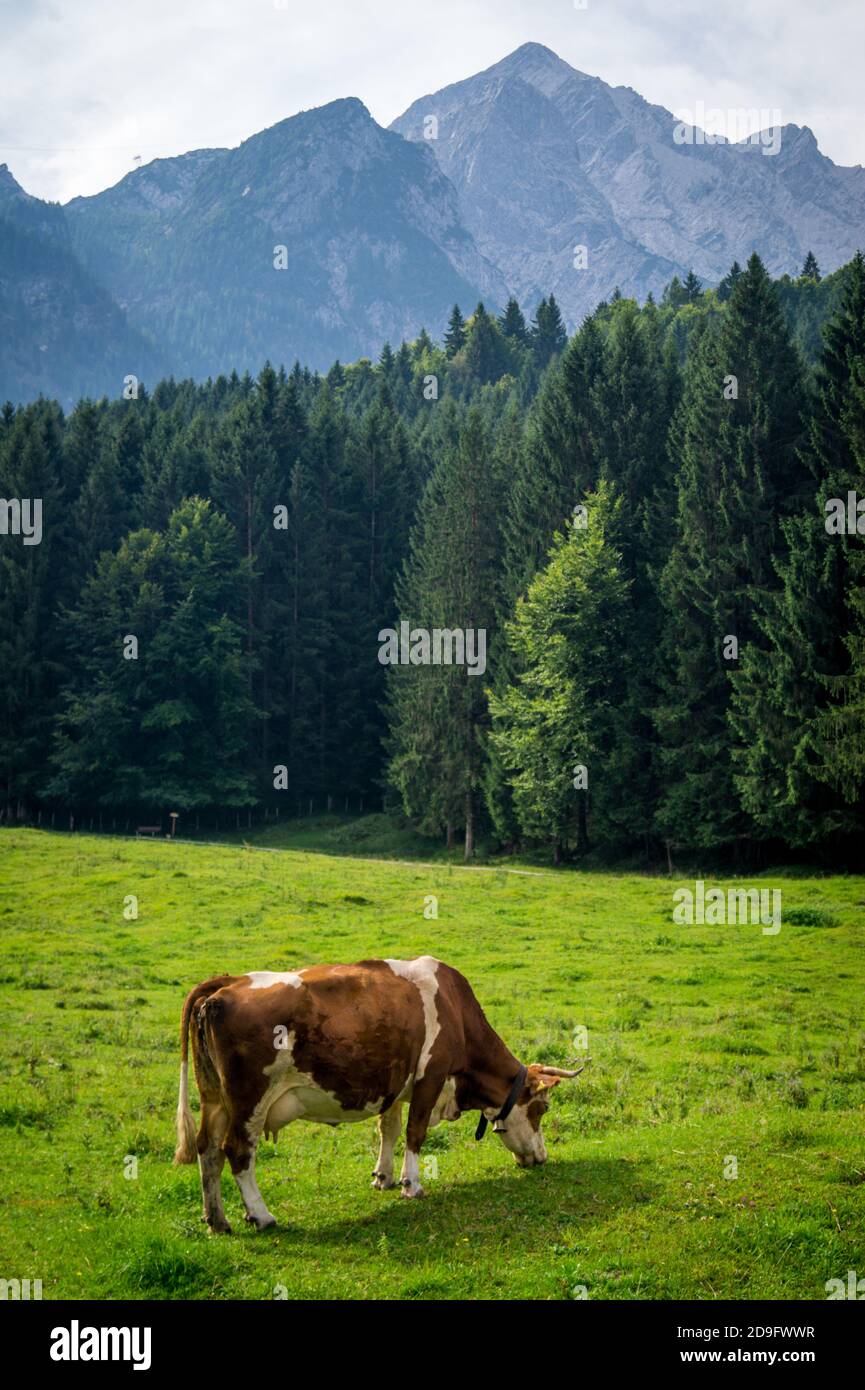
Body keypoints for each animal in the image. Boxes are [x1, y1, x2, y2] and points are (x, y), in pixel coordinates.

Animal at [173, 950, 584, 1234]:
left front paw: (383, 1176)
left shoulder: (395, 1084)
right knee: (237, 1151)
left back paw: (216, 1219)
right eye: (542, 1109)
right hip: (249, 1099)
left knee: (208, 1150)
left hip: (214, 1098)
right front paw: (411, 1184)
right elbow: (415, 1133)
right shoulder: (430, 1077)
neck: (454, 1008)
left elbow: (388, 1128)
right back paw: (261, 1215)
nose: (542, 1157)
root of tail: (225, 983)